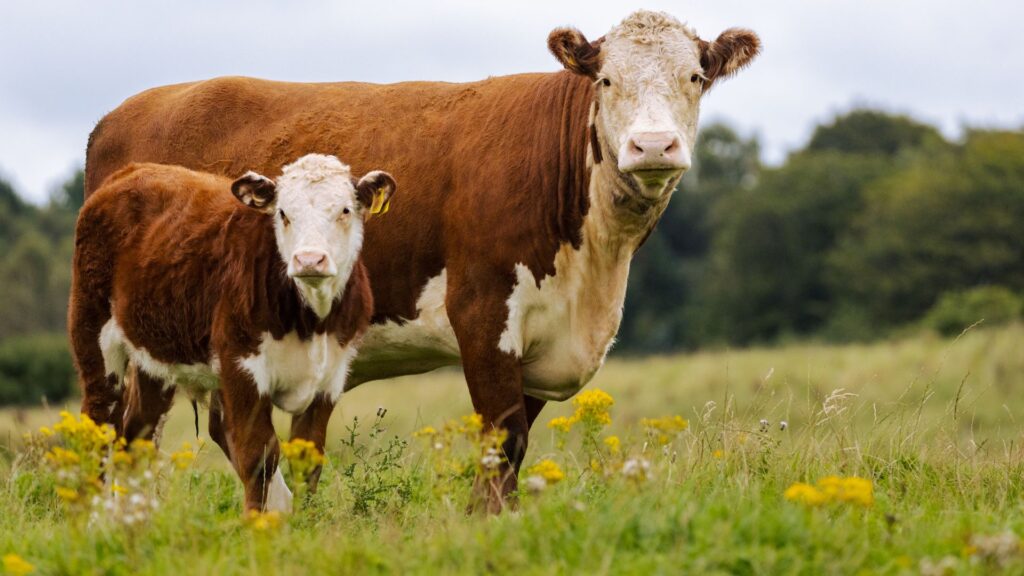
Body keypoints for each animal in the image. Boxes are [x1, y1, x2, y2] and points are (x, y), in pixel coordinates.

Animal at [69, 154, 396, 511]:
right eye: (283, 213)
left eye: (345, 210)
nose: (309, 259)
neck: (311, 320)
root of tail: (133, 171)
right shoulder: (241, 367)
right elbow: (259, 456)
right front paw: (257, 522)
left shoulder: (330, 377)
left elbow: (308, 460)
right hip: (94, 335)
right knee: (98, 425)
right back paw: (90, 515)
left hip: (154, 356)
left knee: (137, 435)